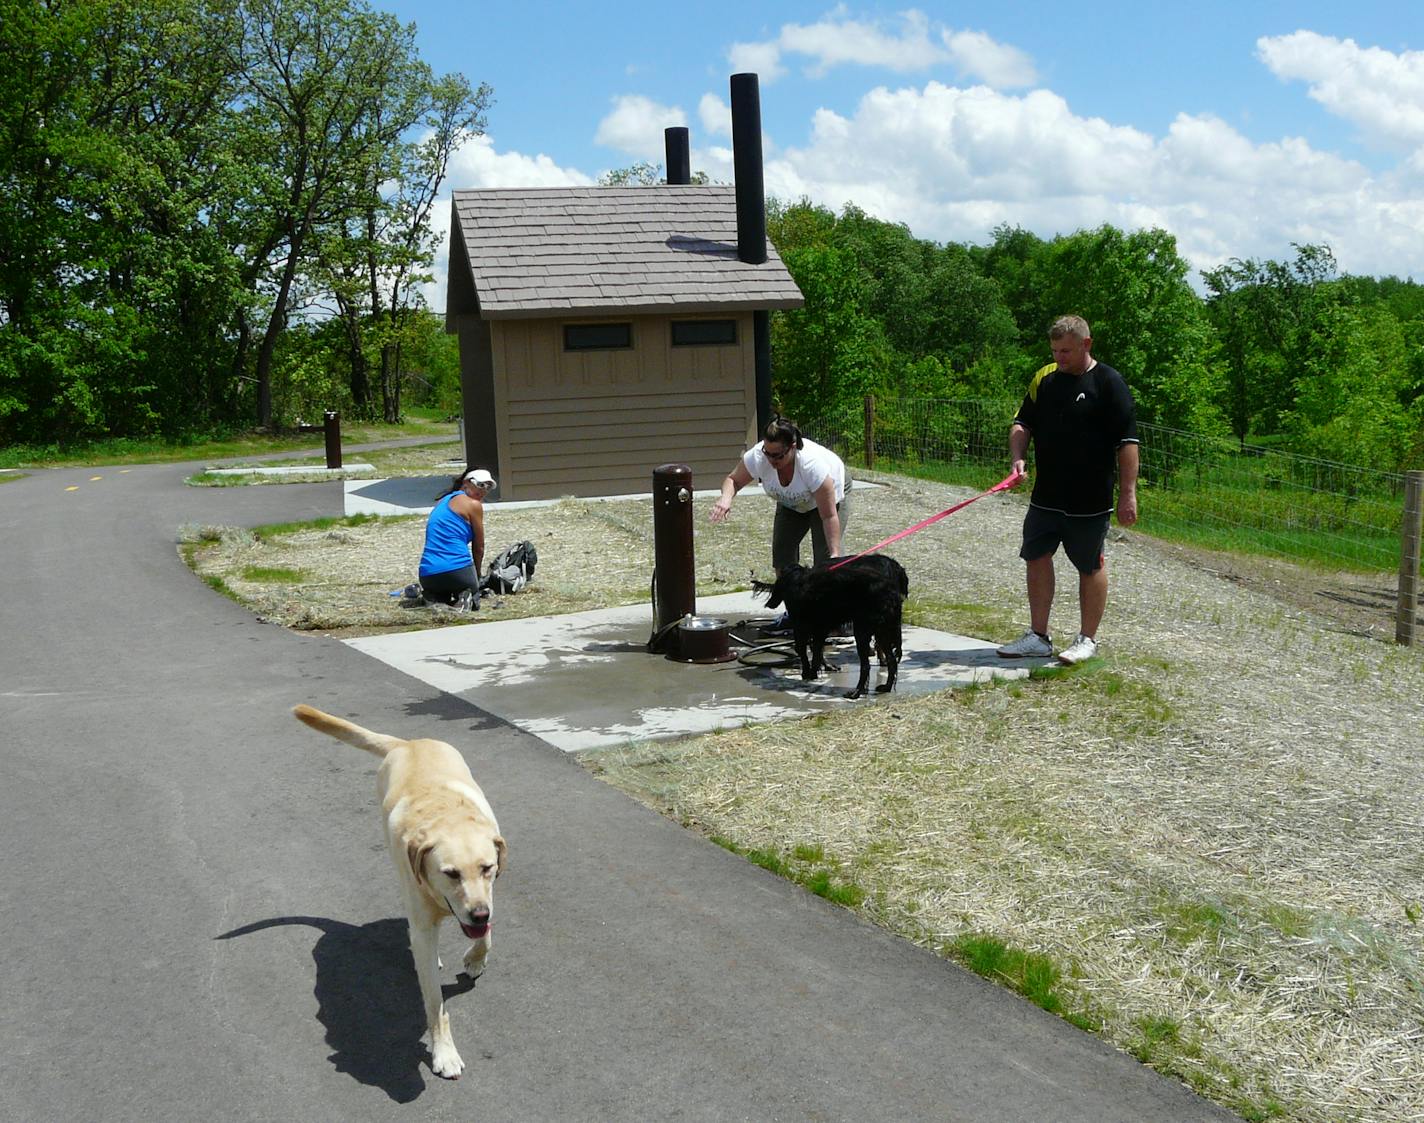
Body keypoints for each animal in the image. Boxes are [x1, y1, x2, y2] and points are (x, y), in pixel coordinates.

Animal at [291, 700, 509, 1076]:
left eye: (487, 868)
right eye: (450, 873)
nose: (479, 914)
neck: (446, 817)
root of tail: (407, 743)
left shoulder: (488, 897)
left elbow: (486, 937)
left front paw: (475, 958)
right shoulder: (425, 919)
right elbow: (434, 1001)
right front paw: (444, 1051)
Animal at [751, 555, 905, 697]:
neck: (797, 580)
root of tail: (891, 592)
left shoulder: (801, 627)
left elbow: (803, 650)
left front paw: (807, 673)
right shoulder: (820, 628)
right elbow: (817, 650)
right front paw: (815, 672)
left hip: (863, 631)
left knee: (866, 666)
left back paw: (856, 692)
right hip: (882, 631)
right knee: (891, 661)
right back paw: (886, 687)